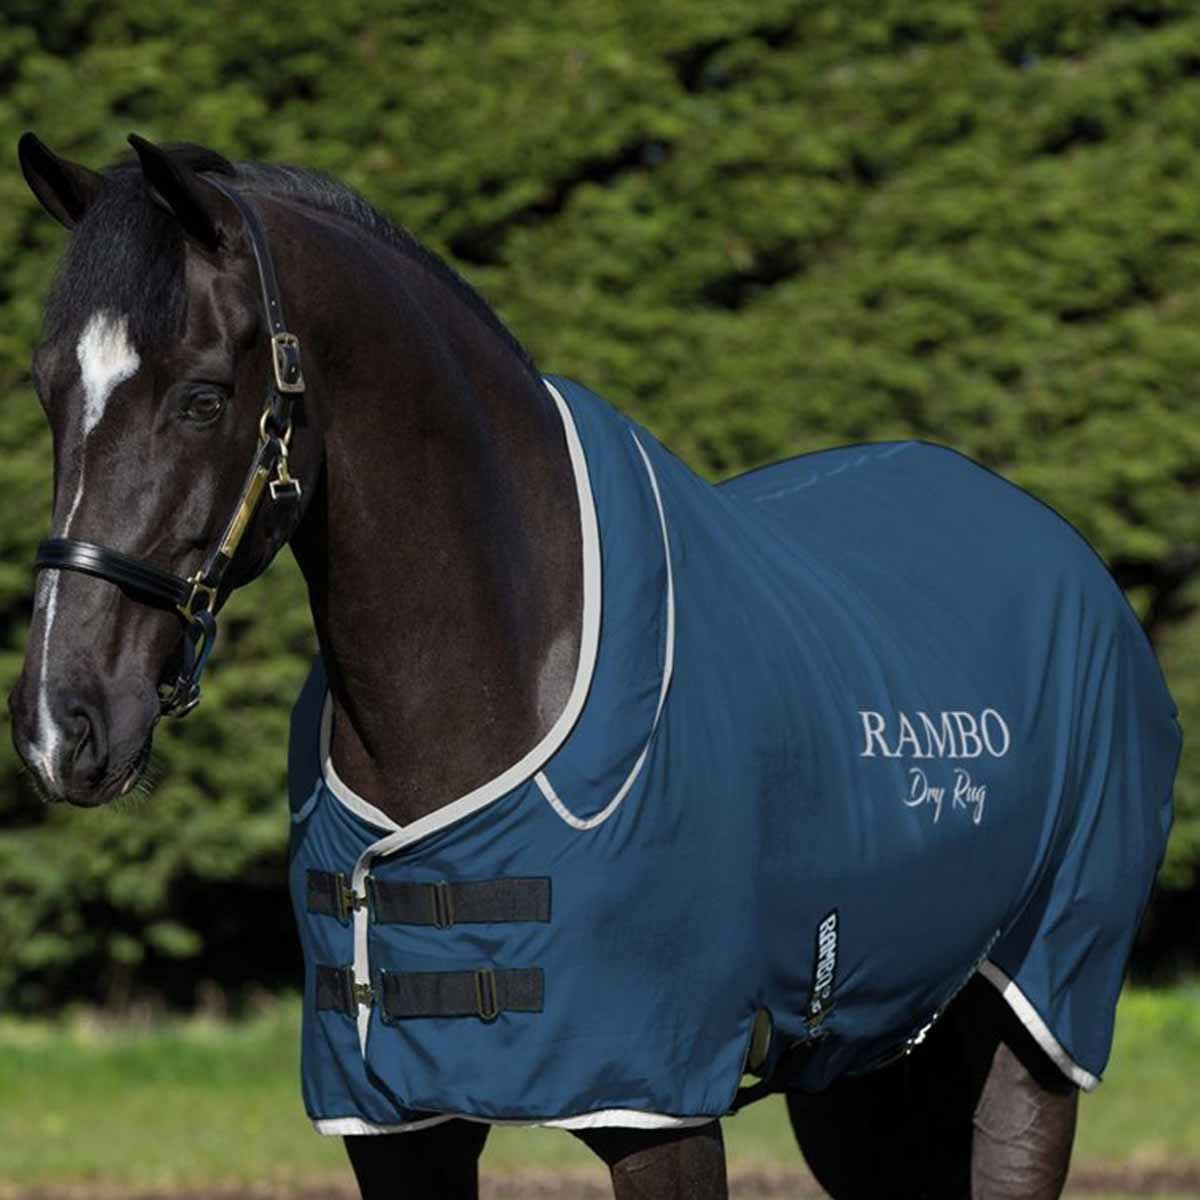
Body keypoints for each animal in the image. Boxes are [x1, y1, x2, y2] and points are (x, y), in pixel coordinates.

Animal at [9, 134, 1178, 1200]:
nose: (61, 724)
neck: (501, 665)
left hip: (1038, 1022)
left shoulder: (656, 1103)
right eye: (48, 389)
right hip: (871, 1069)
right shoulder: (394, 1126)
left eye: (203, 397)